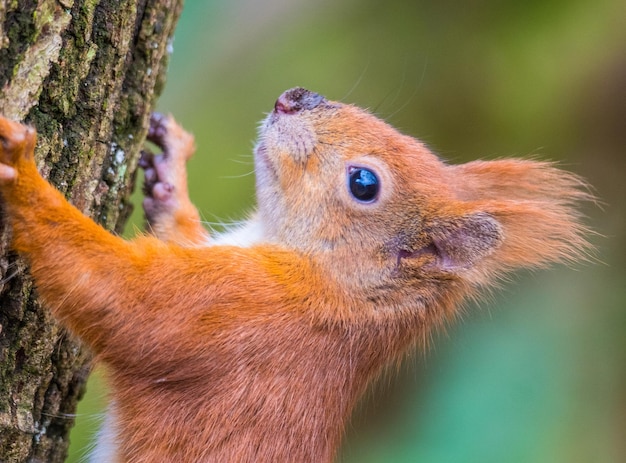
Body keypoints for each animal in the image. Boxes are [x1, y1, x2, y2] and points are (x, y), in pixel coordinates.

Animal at [0, 88, 588, 463]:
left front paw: (22, 175)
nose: (294, 96)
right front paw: (170, 173)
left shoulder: (242, 314)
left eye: (364, 183)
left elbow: (122, 294)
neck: (337, 285)